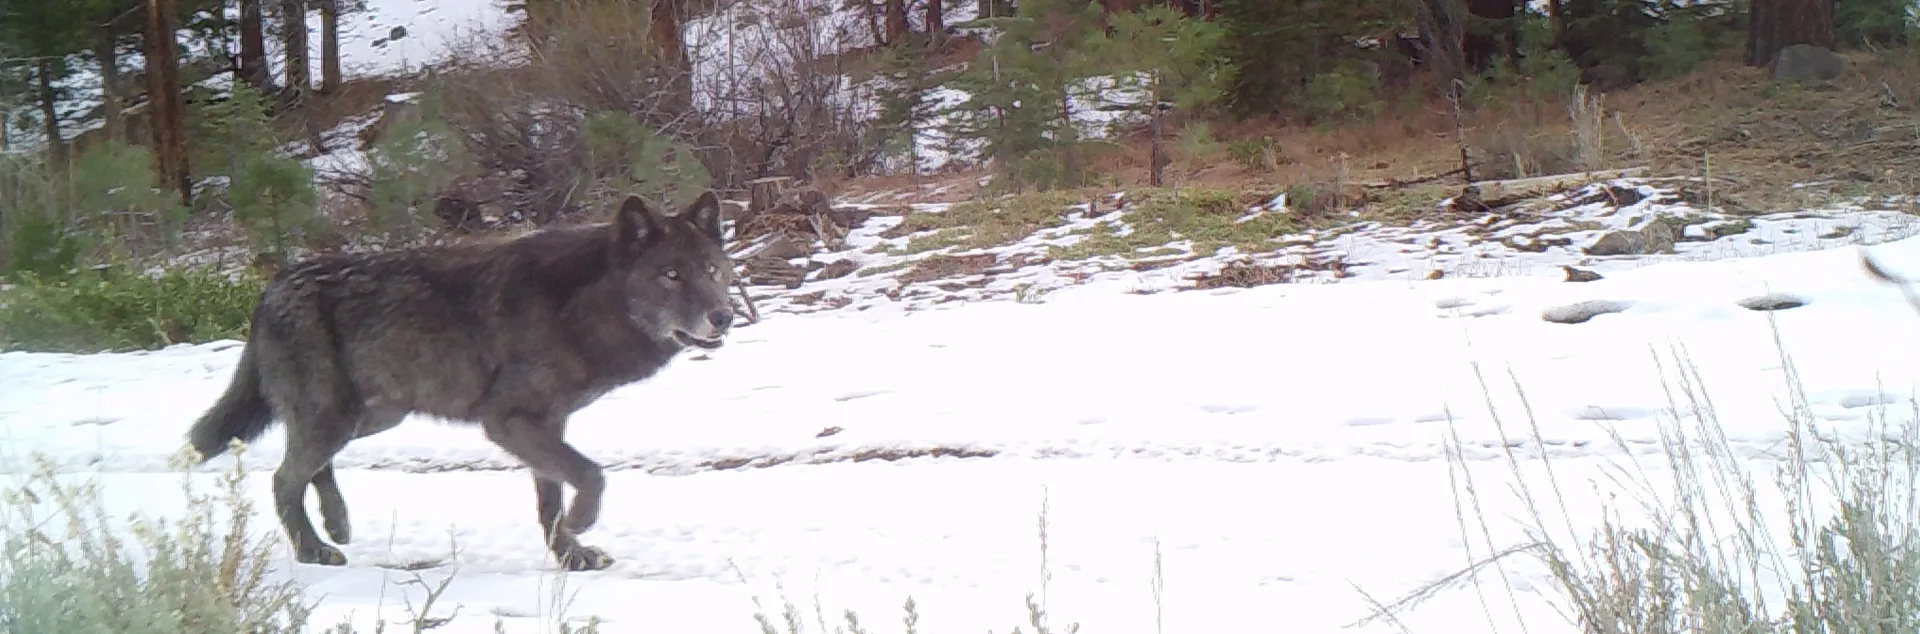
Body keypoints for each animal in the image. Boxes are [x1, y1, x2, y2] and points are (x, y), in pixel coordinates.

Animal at [185, 191, 737, 572]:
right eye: (670, 275)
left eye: (713, 270)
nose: (724, 317)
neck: (581, 309)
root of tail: (271, 287)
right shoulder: (507, 421)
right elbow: (591, 474)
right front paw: (580, 525)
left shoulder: (546, 424)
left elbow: (552, 496)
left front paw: (569, 555)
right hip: (337, 418)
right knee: (284, 479)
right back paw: (314, 551)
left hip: (374, 417)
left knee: (309, 468)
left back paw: (337, 523)